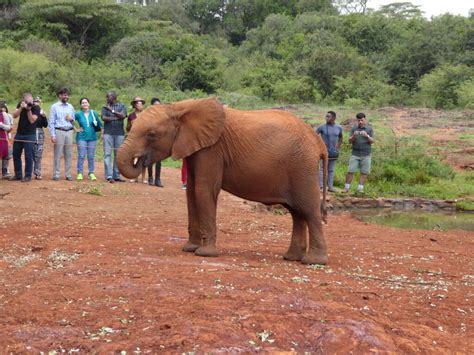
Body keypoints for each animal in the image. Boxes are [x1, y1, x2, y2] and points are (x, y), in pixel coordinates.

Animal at [116, 97, 328, 264]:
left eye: (152, 135)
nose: (140, 160)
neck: (179, 107)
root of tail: (319, 142)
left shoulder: (212, 149)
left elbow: (203, 190)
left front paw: (204, 254)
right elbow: (191, 192)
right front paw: (189, 249)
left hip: (302, 168)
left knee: (309, 210)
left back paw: (313, 261)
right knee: (296, 212)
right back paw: (291, 258)